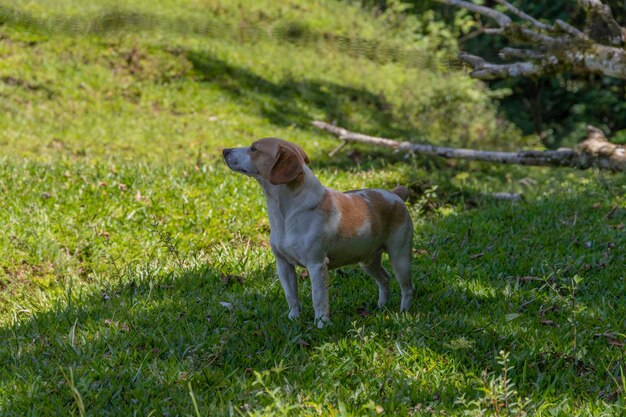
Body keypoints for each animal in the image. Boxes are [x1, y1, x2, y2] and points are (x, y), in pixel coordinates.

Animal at [222, 138, 412, 326]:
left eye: (254, 148)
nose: (225, 150)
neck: (286, 213)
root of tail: (395, 196)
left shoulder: (316, 265)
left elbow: (318, 299)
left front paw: (321, 325)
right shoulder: (283, 264)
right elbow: (291, 296)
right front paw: (293, 319)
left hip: (400, 258)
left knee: (407, 288)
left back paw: (404, 313)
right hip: (368, 262)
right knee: (385, 279)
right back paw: (382, 306)